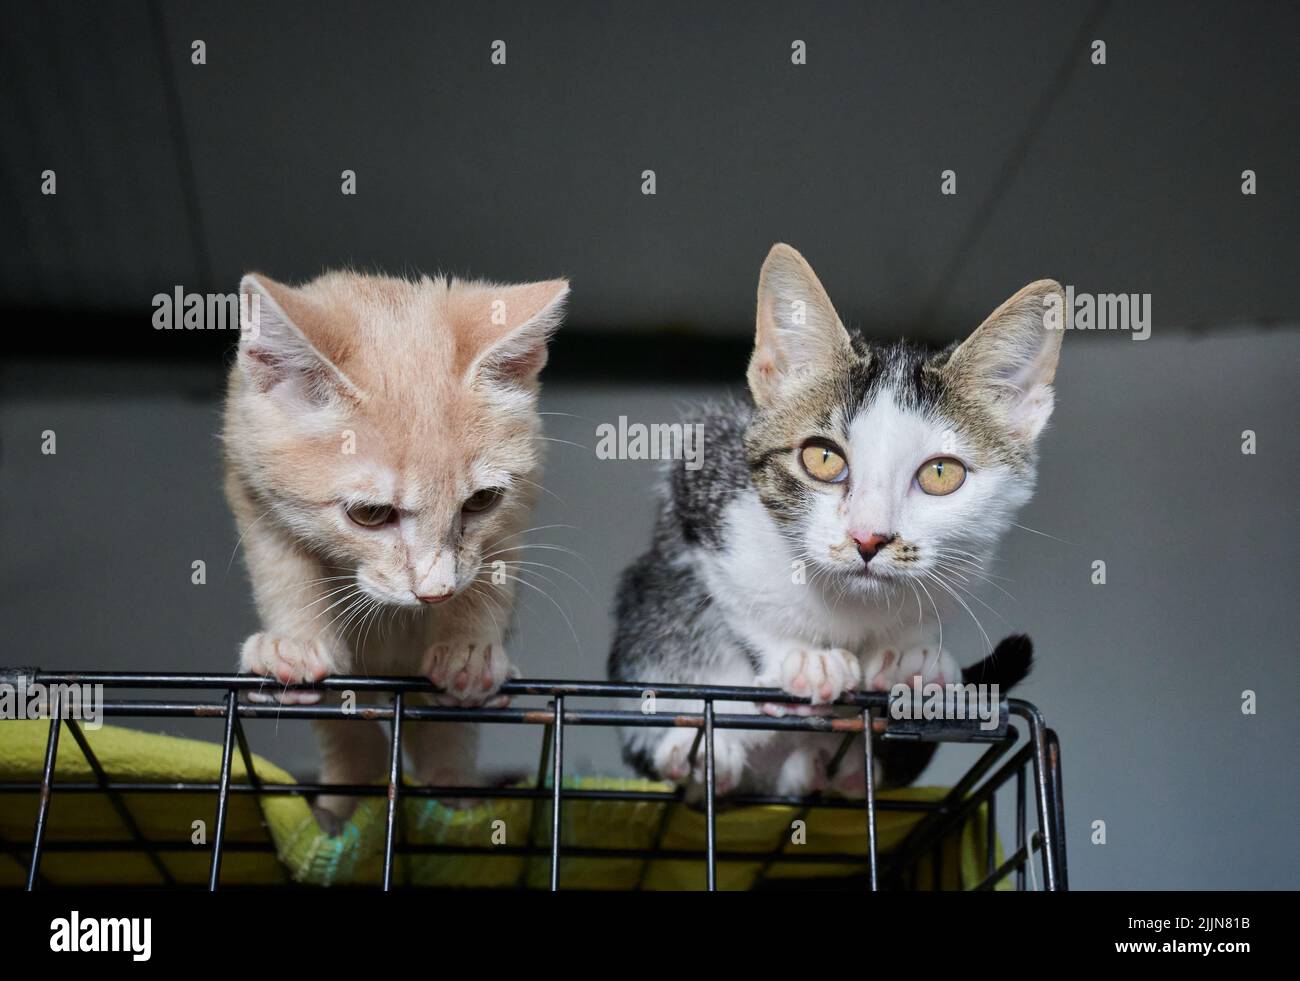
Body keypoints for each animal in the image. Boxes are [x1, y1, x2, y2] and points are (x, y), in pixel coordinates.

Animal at [224, 266, 569, 821]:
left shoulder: (518, 506)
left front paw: (469, 649)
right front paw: (294, 641)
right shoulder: (249, 481)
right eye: (370, 514)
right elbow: (283, 569)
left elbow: (488, 576)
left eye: (481, 501)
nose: (435, 591)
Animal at [608, 244, 1055, 800]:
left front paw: (914, 655)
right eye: (822, 459)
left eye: (941, 473)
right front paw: (801, 657)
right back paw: (706, 748)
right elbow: (736, 598)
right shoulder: (700, 475)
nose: (868, 537)